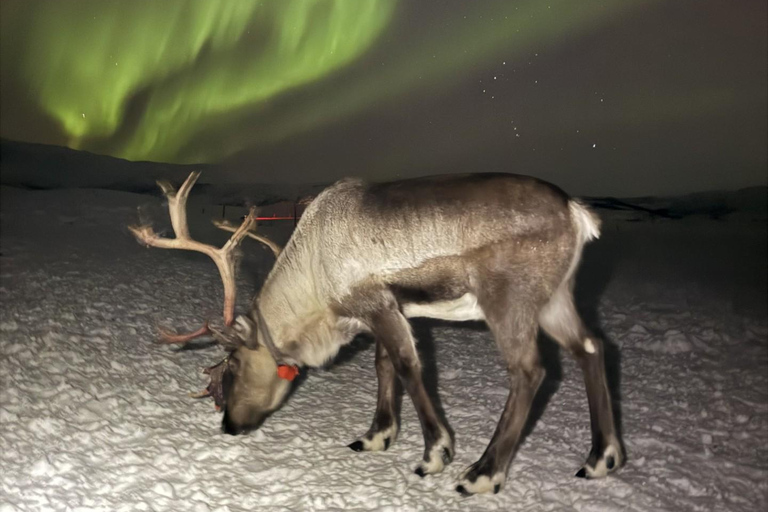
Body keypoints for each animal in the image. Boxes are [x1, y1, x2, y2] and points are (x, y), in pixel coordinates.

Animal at [129, 171, 623, 496]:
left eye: (232, 367)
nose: (229, 426)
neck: (315, 283)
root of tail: (577, 213)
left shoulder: (377, 303)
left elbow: (406, 365)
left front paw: (435, 453)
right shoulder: (387, 313)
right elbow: (383, 364)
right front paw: (377, 435)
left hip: (509, 300)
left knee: (530, 371)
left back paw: (482, 473)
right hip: (556, 298)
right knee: (592, 347)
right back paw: (601, 458)